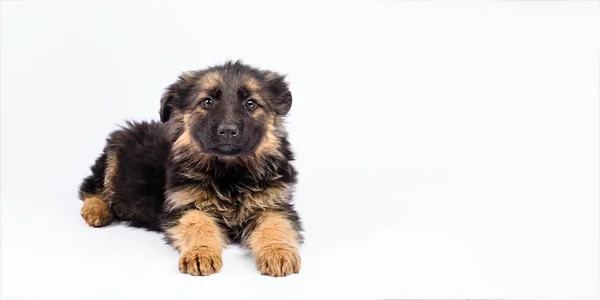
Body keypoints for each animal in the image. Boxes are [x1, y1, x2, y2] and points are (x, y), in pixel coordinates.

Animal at [79, 61, 302, 276]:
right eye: (207, 102)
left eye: (251, 103)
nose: (228, 131)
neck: (230, 172)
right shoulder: (185, 204)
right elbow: (198, 224)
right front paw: (200, 254)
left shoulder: (273, 205)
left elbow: (276, 226)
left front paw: (278, 253)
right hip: (111, 160)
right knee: (90, 189)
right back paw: (96, 211)